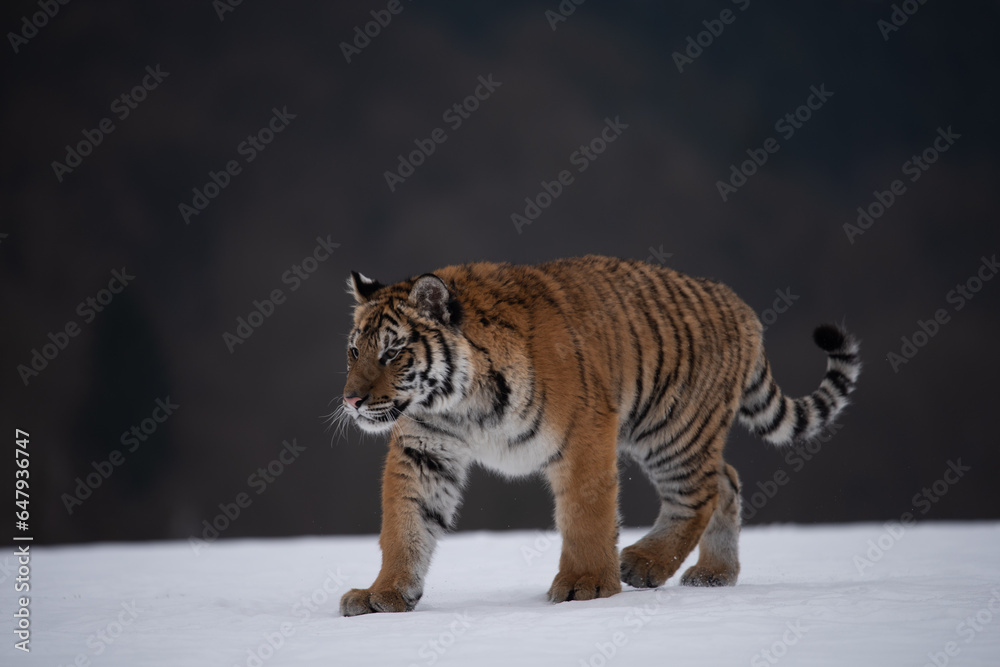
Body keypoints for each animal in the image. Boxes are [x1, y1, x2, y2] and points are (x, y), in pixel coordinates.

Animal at [337, 254, 860, 616]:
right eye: (354, 350)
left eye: (393, 352)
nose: (352, 400)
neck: (461, 404)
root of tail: (738, 303)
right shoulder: (425, 450)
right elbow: (405, 522)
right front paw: (385, 593)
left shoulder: (583, 434)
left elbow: (586, 515)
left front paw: (585, 586)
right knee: (727, 479)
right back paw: (714, 575)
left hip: (672, 428)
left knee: (703, 492)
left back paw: (646, 564)